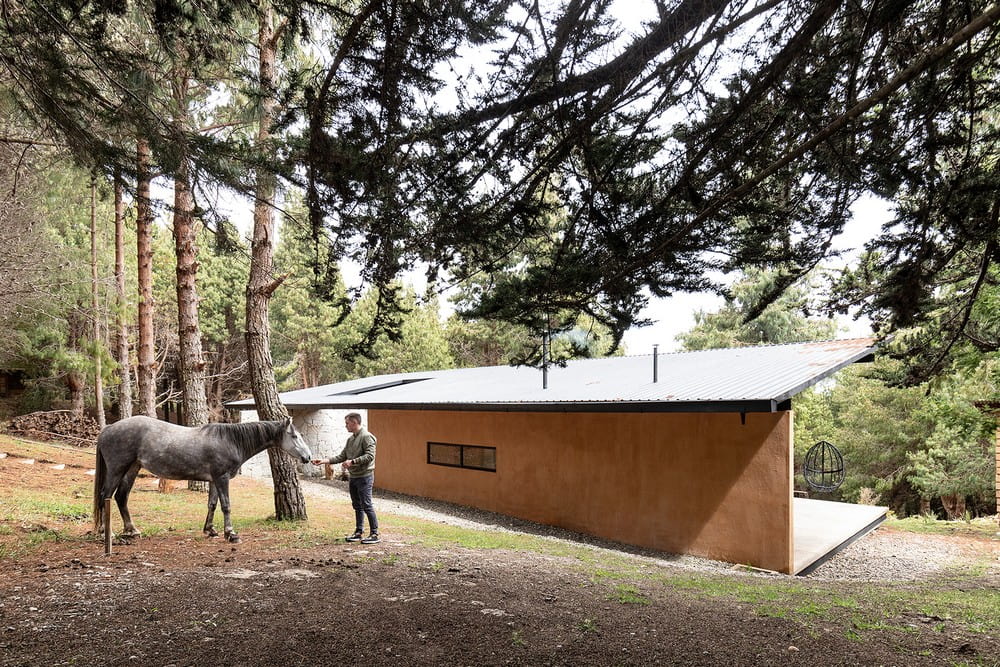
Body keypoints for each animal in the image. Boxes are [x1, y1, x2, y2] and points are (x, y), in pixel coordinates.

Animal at [94, 418, 312, 544]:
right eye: (294, 436)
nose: (308, 457)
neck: (229, 441)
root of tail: (108, 428)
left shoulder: (214, 480)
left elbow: (212, 504)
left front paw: (211, 530)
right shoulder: (222, 478)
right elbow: (226, 506)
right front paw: (231, 534)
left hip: (132, 469)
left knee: (121, 497)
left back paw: (132, 531)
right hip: (117, 469)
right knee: (106, 496)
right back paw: (108, 534)